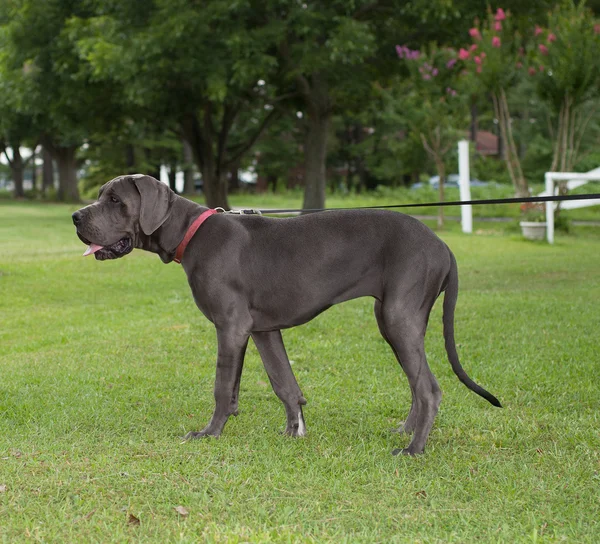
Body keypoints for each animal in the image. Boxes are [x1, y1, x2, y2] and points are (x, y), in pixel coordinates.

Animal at [72, 174, 500, 454]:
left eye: (115, 201)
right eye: (101, 196)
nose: (76, 216)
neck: (191, 233)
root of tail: (443, 246)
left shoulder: (232, 326)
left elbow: (222, 386)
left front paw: (210, 433)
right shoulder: (262, 330)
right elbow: (284, 383)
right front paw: (294, 431)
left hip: (398, 317)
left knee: (429, 388)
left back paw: (414, 449)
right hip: (398, 320)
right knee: (417, 382)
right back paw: (405, 433)